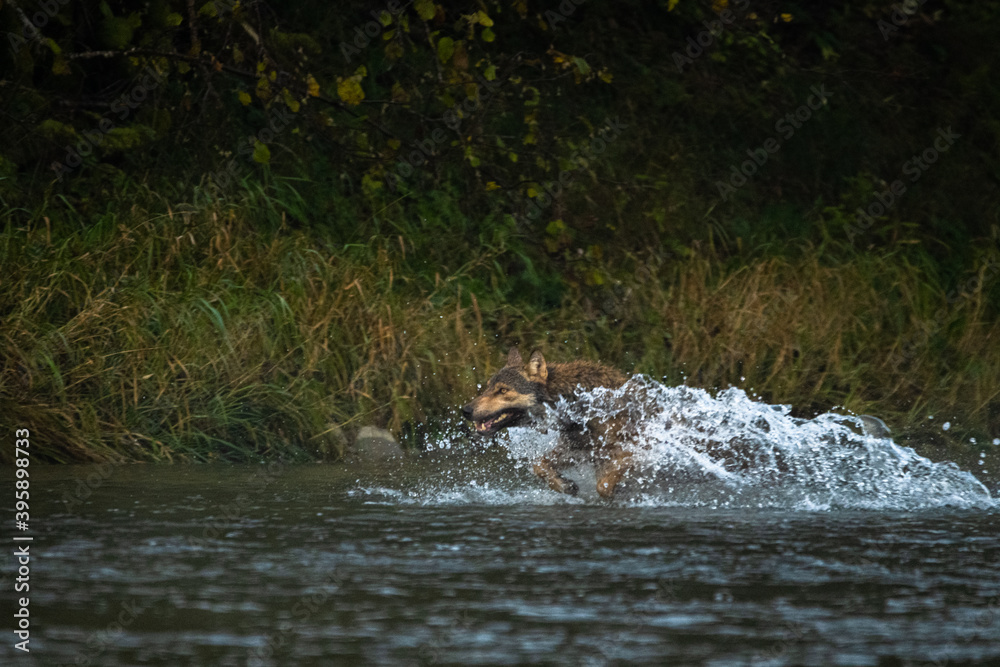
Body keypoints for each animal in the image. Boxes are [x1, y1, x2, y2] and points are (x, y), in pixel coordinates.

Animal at [462, 347, 635, 499]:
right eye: (487, 387)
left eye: (503, 390)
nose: (465, 410)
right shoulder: (575, 451)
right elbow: (538, 465)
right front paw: (565, 485)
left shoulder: (632, 451)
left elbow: (602, 486)